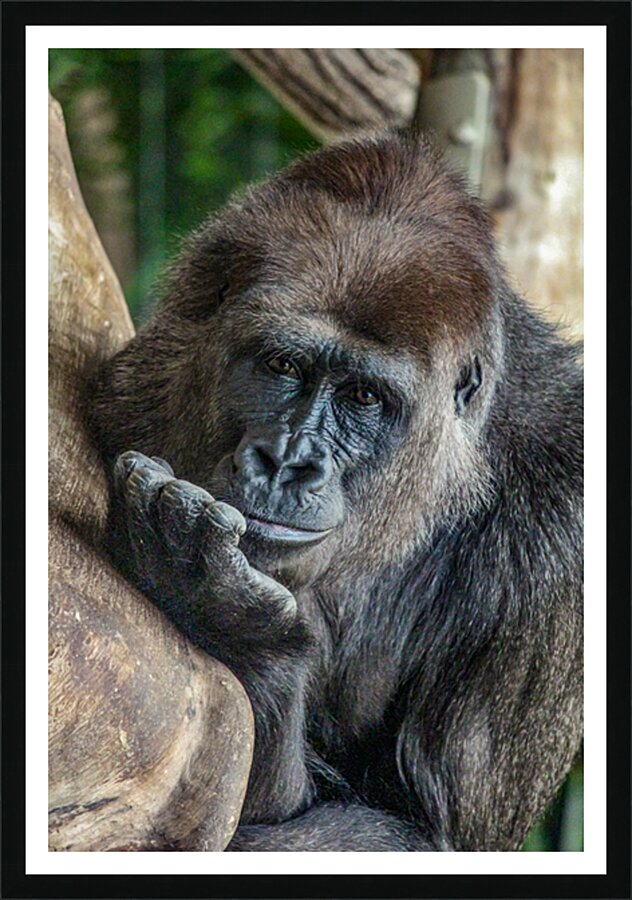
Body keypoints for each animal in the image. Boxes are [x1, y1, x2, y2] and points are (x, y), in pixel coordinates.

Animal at [90, 130, 583, 852]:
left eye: (364, 398)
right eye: (282, 365)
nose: (287, 462)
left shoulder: (565, 526)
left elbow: (420, 825)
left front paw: (231, 622)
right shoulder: (140, 387)